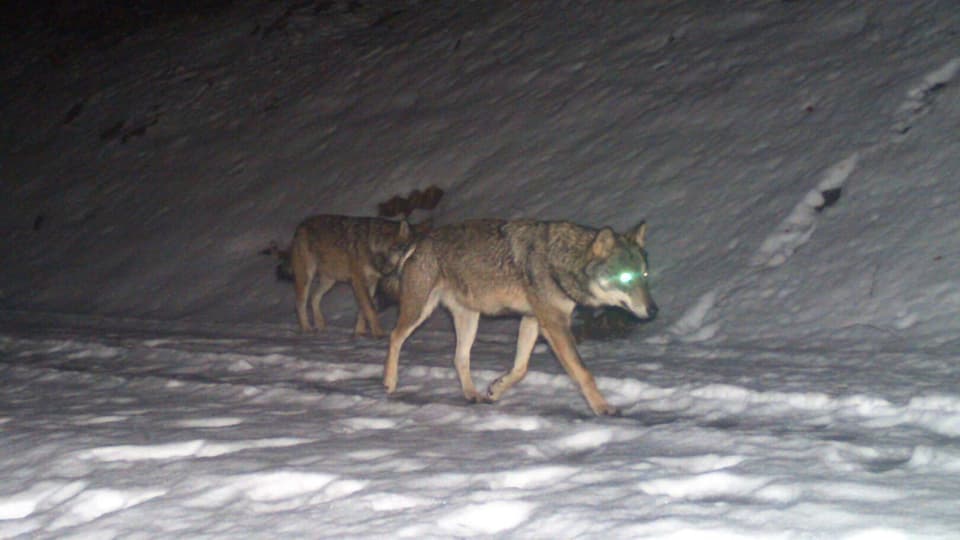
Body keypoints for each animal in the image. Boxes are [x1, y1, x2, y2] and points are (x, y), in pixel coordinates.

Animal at [282, 215, 424, 338]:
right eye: (410, 253)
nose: (420, 267)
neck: (375, 248)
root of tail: (300, 226)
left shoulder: (371, 283)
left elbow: (363, 309)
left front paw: (359, 333)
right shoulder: (358, 281)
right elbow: (371, 308)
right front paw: (379, 333)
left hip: (330, 281)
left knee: (314, 298)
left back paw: (320, 325)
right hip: (306, 277)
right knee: (300, 303)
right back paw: (307, 329)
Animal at [382, 217, 660, 416]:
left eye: (645, 276)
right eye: (626, 277)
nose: (654, 310)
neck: (562, 259)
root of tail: (420, 239)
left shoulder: (532, 320)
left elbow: (521, 368)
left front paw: (496, 389)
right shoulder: (555, 324)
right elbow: (583, 373)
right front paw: (603, 408)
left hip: (470, 320)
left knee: (459, 358)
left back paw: (472, 394)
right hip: (419, 311)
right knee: (394, 336)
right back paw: (389, 382)